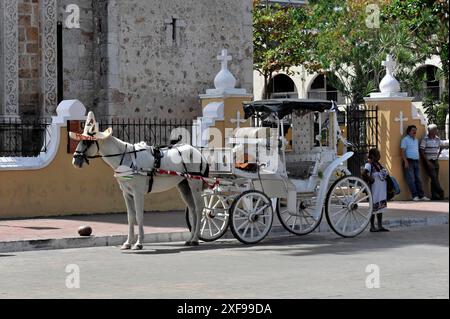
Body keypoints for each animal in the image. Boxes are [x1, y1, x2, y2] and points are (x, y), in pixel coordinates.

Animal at [71, 112, 209, 250]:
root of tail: (197, 152)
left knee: (199, 208)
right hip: (184, 186)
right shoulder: (127, 194)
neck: (126, 158)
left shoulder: (138, 193)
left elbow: (138, 215)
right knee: (192, 209)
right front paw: (128, 242)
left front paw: (139, 242)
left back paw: (195, 238)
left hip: (195, 184)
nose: (75, 160)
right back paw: (191, 238)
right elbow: (130, 217)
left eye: (86, 142)